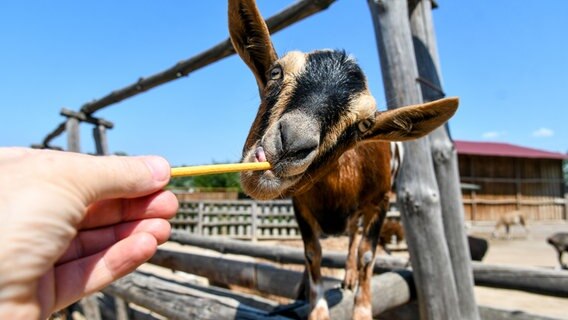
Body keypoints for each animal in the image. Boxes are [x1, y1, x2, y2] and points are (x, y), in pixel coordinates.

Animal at [229, 1, 460, 318]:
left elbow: (367, 254)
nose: (291, 143)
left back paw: (350, 277)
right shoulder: (300, 204)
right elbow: (312, 253)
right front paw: (316, 308)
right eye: (276, 72)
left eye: (364, 125)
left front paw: (362, 309)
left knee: (355, 237)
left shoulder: (381, 201)